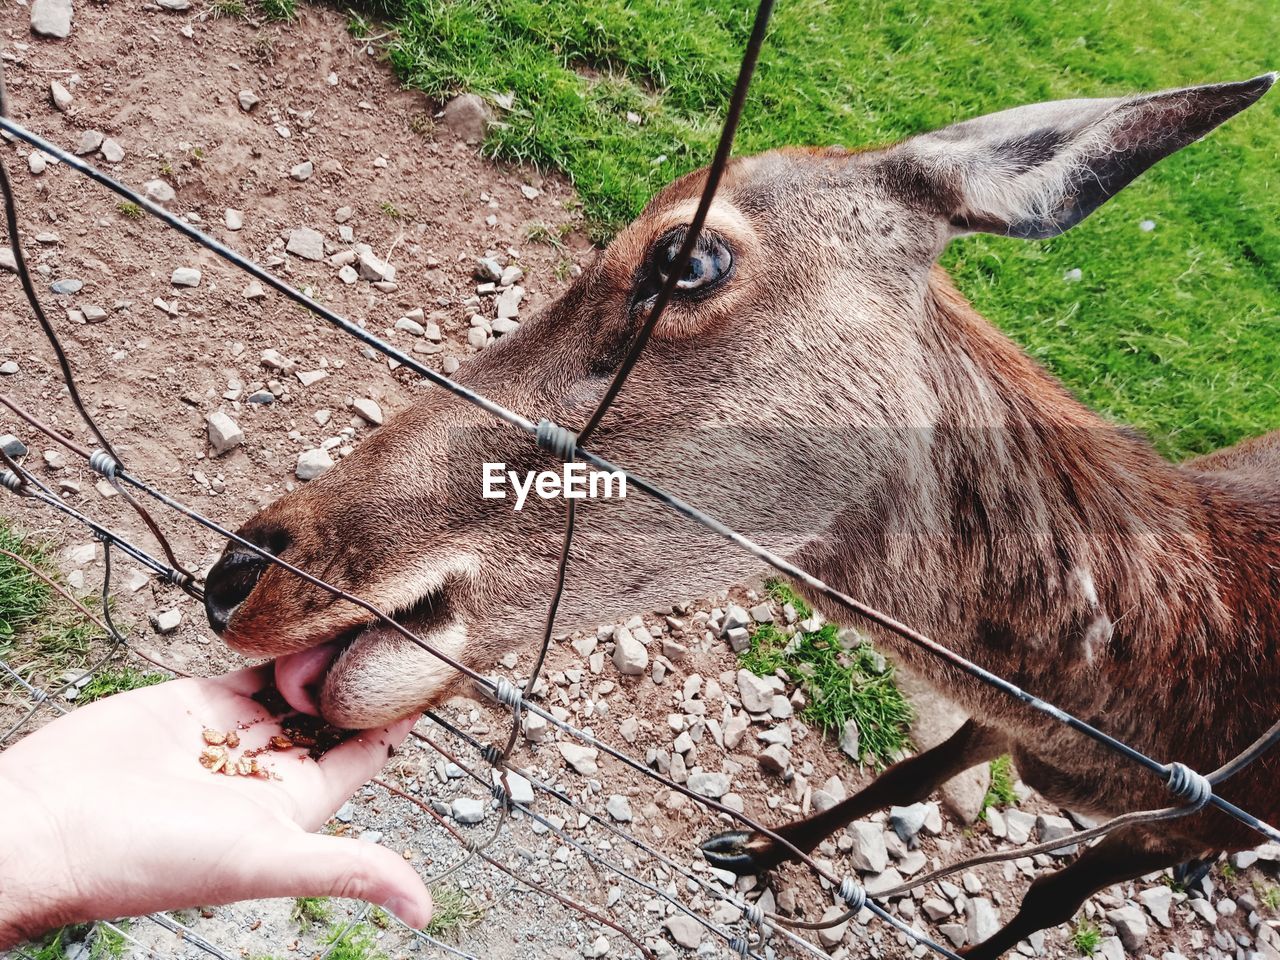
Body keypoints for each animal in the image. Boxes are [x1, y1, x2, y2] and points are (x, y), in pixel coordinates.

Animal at [204, 73, 1274, 957]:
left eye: (684, 258)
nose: (241, 575)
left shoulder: (1198, 813)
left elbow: (1047, 897)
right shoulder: (999, 723)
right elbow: (902, 777)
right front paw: (751, 854)